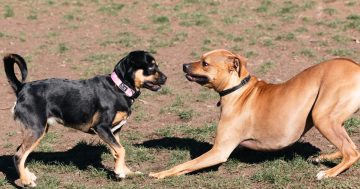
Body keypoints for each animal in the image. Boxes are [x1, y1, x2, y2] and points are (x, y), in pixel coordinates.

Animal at [3, 50, 167, 188]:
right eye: (151, 67)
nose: (166, 78)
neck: (119, 88)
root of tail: (22, 87)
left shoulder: (115, 131)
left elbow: (118, 152)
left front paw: (126, 171)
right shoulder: (102, 127)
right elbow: (121, 150)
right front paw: (120, 172)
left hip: (38, 129)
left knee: (20, 151)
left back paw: (27, 175)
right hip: (36, 129)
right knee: (18, 155)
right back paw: (26, 181)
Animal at [150, 48, 360, 180]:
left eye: (205, 63)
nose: (184, 65)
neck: (238, 89)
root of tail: (355, 66)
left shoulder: (219, 151)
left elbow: (184, 164)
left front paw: (159, 174)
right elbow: (187, 166)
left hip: (322, 117)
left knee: (351, 152)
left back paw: (327, 173)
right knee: (352, 147)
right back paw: (322, 158)